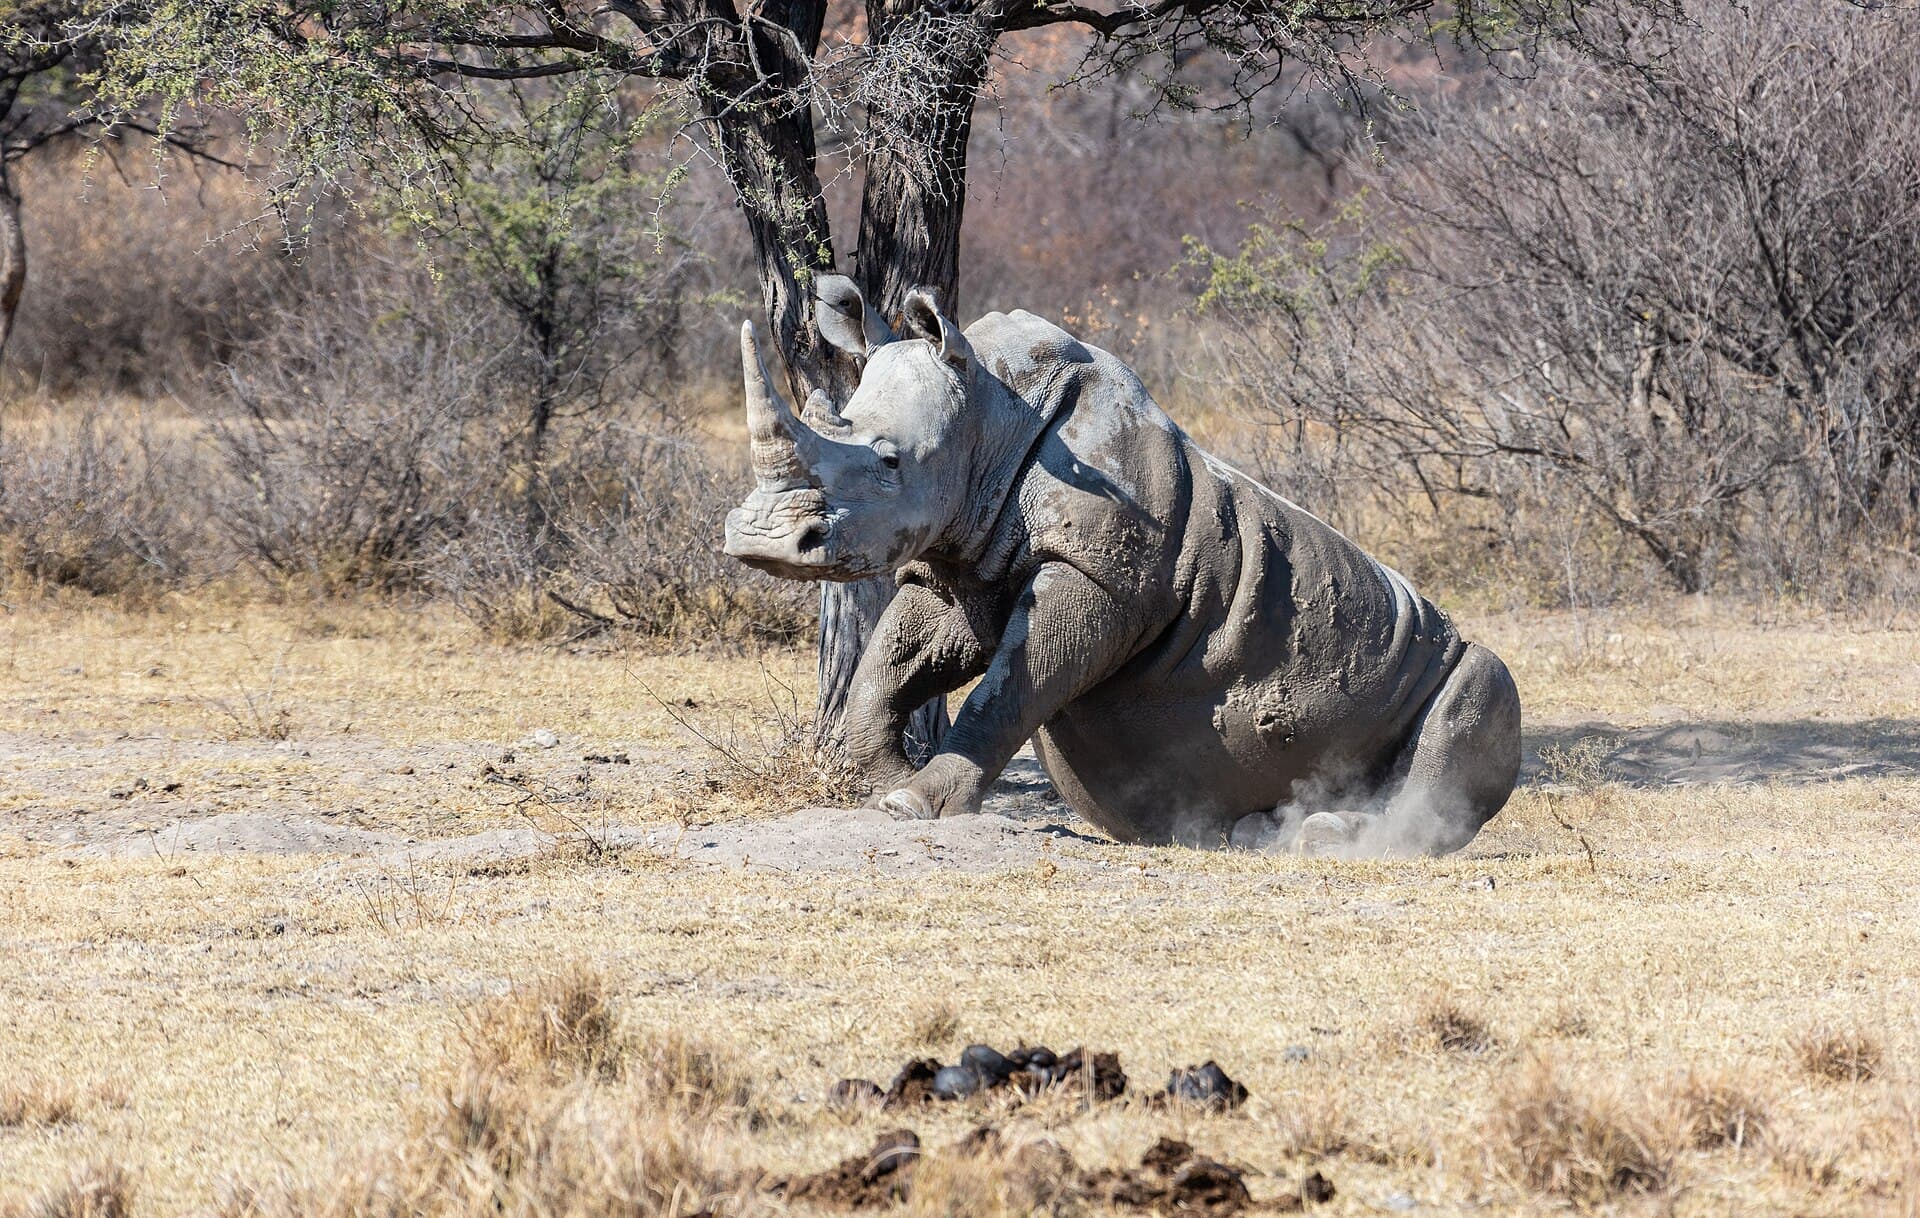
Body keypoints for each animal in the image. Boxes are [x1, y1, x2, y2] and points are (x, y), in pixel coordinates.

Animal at [722, 278, 1521, 856]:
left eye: (889, 462)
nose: (761, 542)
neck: (992, 408)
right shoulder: (965, 558)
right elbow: (895, 659)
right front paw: (882, 784)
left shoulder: (1098, 578)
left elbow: (1009, 688)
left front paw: (915, 802)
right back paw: (1265, 832)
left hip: (1453, 658)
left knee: (1478, 687)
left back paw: (1329, 840)